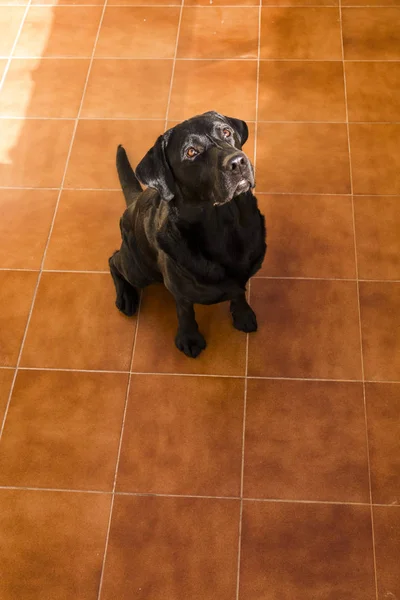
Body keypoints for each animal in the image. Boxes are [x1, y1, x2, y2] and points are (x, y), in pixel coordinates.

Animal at [110, 109, 266, 356]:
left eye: (226, 132)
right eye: (191, 152)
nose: (237, 161)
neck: (224, 225)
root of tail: (134, 201)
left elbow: (238, 292)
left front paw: (243, 314)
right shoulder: (179, 289)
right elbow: (185, 311)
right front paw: (189, 338)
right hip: (140, 270)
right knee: (114, 260)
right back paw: (125, 296)